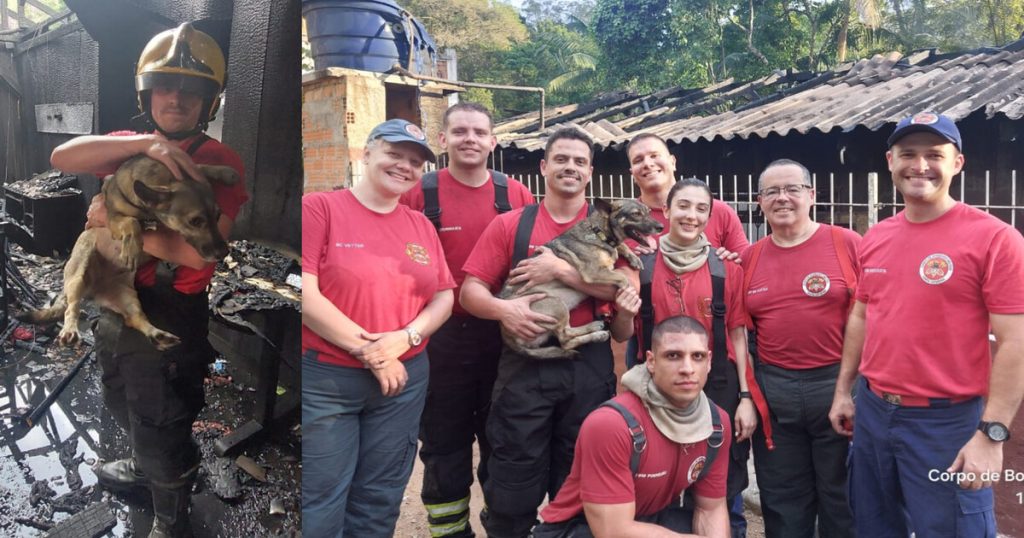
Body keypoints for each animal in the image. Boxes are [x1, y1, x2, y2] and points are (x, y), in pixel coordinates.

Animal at [17, 154, 237, 348]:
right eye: (195, 221)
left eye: (218, 216)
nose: (223, 252)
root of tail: (94, 289)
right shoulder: (113, 218)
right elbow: (132, 222)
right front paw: (132, 247)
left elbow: (199, 166)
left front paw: (225, 172)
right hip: (78, 273)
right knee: (72, 308)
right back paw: (70, 330)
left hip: (128, 298)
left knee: (134, 319)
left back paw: (158, 335)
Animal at [501, 196, 663, 356]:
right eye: (636, 214)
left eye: (648, 212)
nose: (661, 227)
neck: (599, 233)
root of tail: (508, 337)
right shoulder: (593, 271)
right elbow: (622, 278)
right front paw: (625, 289)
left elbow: (621, 247)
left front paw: (633, 257)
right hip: (556, 304)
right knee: (565, 339)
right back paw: (596, 333)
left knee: (566, 338)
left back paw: (594, 329)